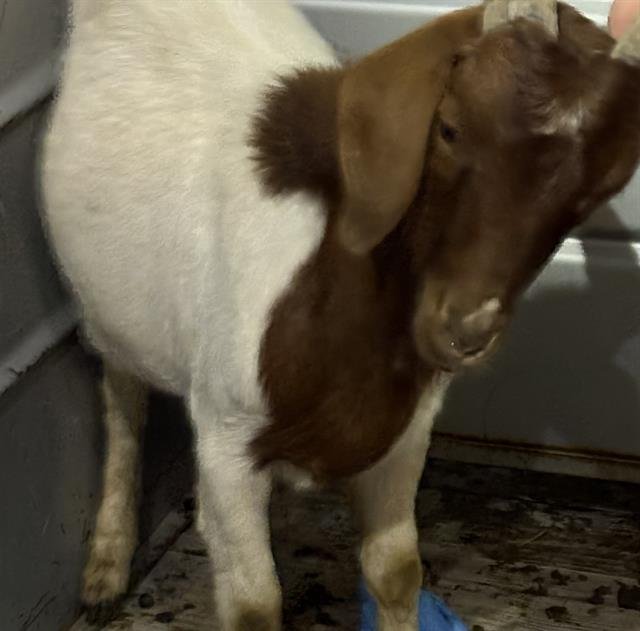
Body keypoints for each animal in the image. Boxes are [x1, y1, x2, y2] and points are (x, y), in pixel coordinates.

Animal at [40, 1, 640, 629]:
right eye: (449, 128)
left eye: (600, 187)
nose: (463, 329)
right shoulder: (225, 438)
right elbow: (254, 604)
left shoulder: (405, 432)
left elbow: (395, 570)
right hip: (108, 306)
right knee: (121, 393)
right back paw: (106, 567)